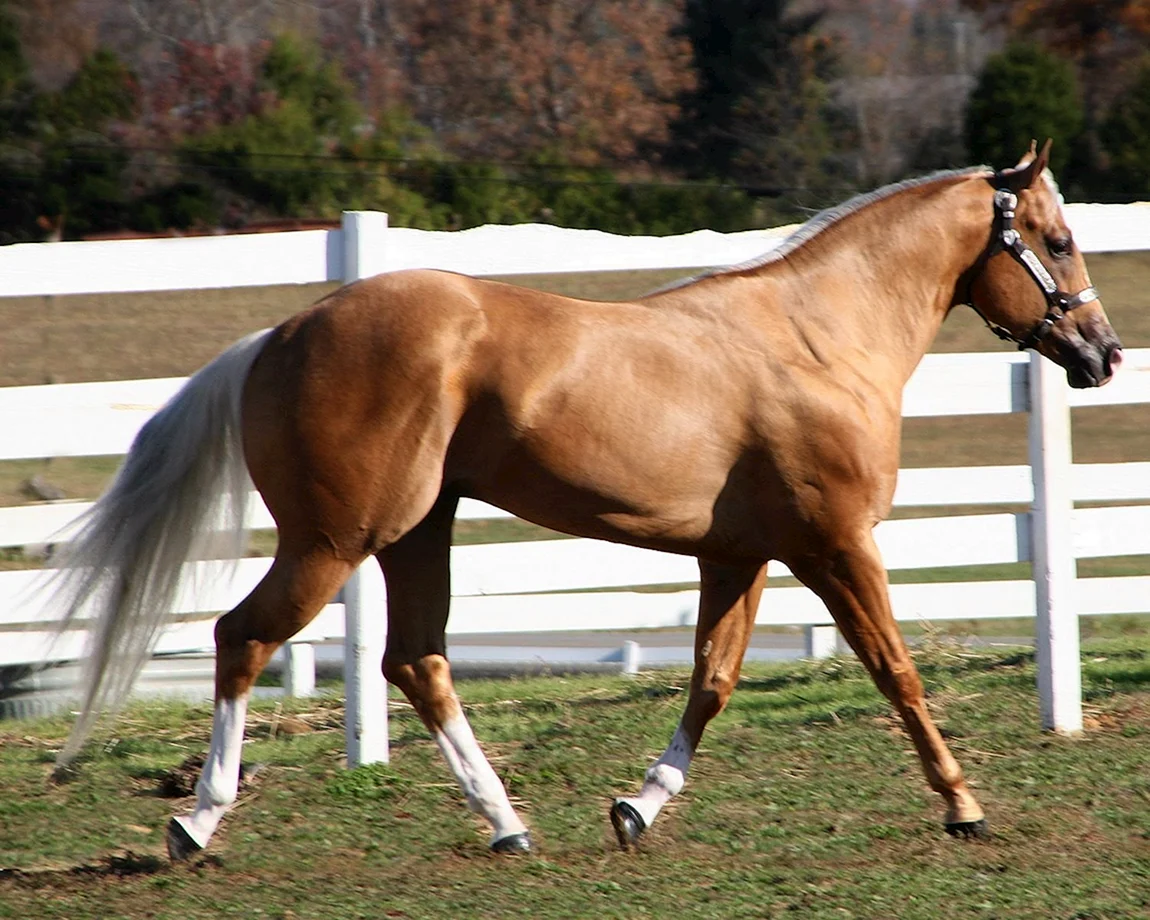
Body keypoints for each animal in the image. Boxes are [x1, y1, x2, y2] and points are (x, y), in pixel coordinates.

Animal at [48, 141, 1121, 860]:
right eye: (1059, 241)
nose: (1104, 354)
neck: (815, 339)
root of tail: (279, 334)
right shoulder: (835, 546)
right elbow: (897, 673)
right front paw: (964, 805)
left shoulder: (739, 555)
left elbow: (712, 682)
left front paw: (639, 807)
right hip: (335, 539)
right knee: (245, 637)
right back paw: (196, 820)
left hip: (415, 535)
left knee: (416, 660)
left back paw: (507, 826)